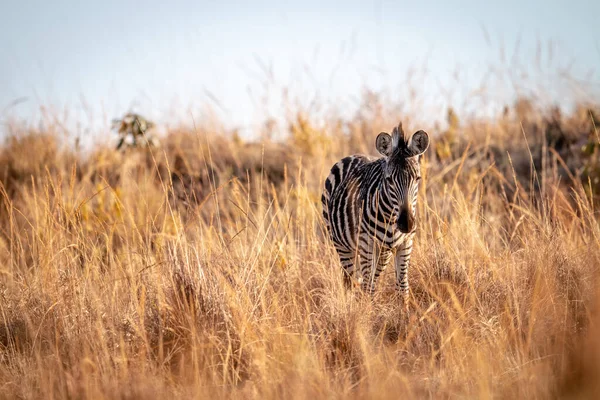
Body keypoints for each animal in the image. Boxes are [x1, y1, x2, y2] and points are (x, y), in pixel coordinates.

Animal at [322, 123, 428, 302]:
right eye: (389, 179)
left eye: (418, 179)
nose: (406, 224)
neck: (391, 218)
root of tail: (356, 155)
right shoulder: (367, 242)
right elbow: (368, 287)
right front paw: (367, 310)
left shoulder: (406, 243)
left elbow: (402, 287)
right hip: (342, 245)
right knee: (353, 281)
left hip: (383, 252)